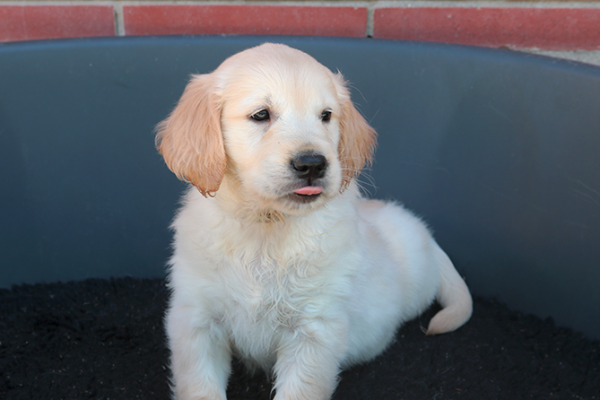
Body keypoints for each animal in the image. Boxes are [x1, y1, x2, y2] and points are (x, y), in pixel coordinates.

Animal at [156, 43, 474, 400]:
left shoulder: (314, 329)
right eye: (261, 114)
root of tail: (428, 236)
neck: (267, 225)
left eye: (326, 115)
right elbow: (200, 385)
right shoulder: (196, 320)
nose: (312, 164)